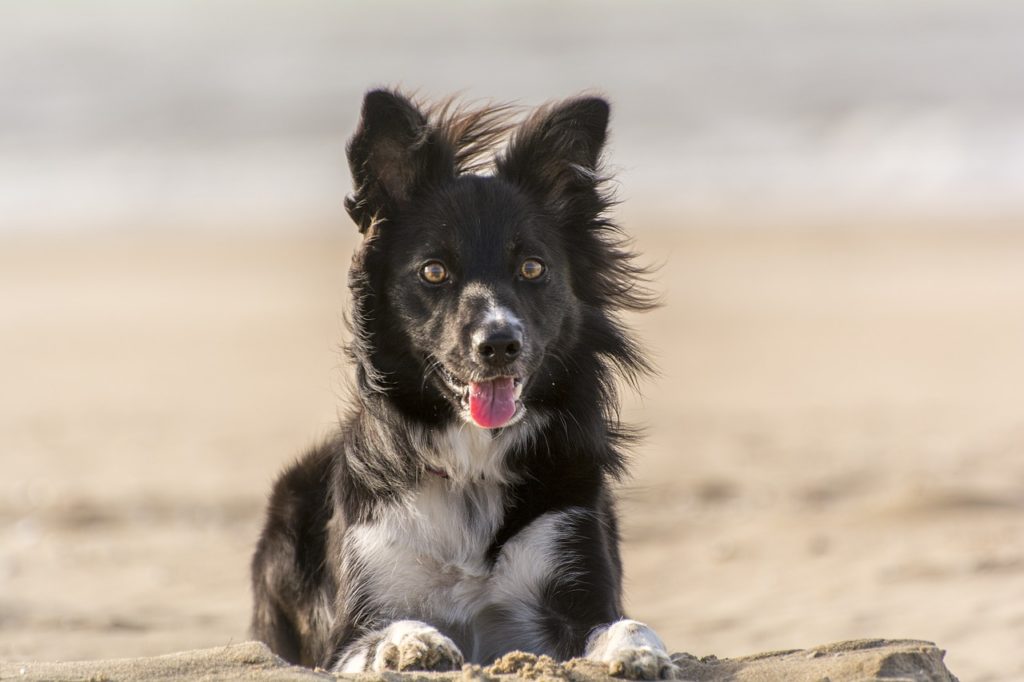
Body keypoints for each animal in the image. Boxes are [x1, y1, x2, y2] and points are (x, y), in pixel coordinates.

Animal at [250, 89, 675, 675]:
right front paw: (410, 644)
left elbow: (625, 622)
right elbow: (380, 633)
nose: (498, 344)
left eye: (532, 268)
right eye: (434, 271)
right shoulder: (348, 627)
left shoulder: (574, 580)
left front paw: (641, 651)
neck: (472, 466)